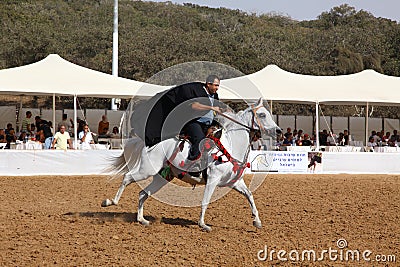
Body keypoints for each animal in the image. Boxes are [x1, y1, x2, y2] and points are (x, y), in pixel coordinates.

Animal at [102, 98, 278, 232]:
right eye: (262, 114)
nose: (279, 131)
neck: (230, 146)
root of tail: (150, 143)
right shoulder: (213, 180)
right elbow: (205, 200)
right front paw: (203, 225)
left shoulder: (234, 182)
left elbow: (249, 195)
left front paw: (257, 221)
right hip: (147, 170)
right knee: (127, 177)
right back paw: (110, 202)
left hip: (162, 178)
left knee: (142, 193)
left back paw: (142, 219)